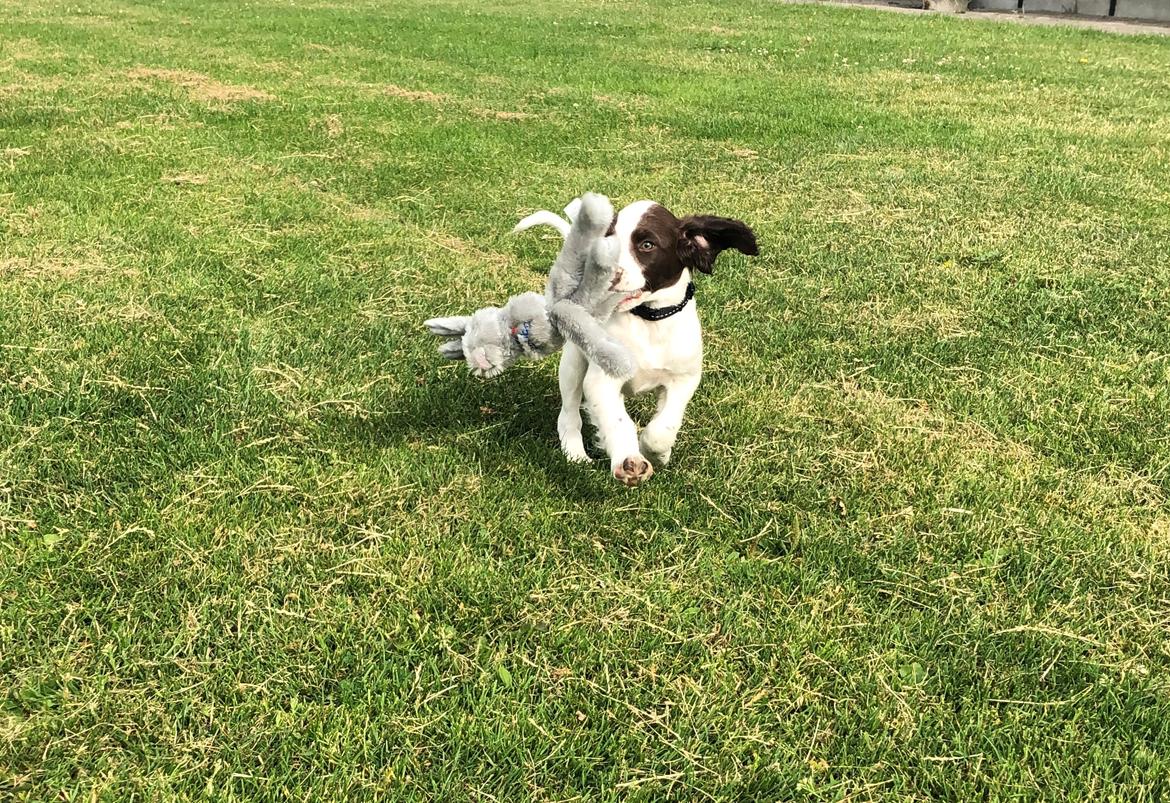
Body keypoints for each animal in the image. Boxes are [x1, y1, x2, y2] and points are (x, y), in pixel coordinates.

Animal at [540, 201, 758, 486]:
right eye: (607, 239)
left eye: (647, 245)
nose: (602, 272)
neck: (648, 320)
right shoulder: (602, 381)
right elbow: (618, 421)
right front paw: (629, 460)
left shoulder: (684, 379)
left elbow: (663, 428)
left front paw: (657, 453)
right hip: (573, 363)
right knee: (569, 412)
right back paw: (575, 452)